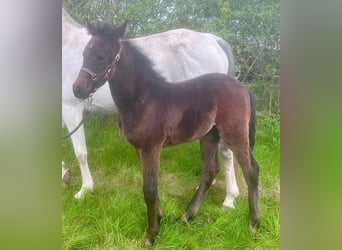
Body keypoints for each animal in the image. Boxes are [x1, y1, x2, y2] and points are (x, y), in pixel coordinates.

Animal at [62, 8, 238, 207]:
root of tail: (214, 40)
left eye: (101, 56)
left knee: (227, 151)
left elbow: (80, 152)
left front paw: (84, 189)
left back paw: (229, 198)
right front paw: (64, 175)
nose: (78, 89)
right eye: (84, 54)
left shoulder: (71, 109)